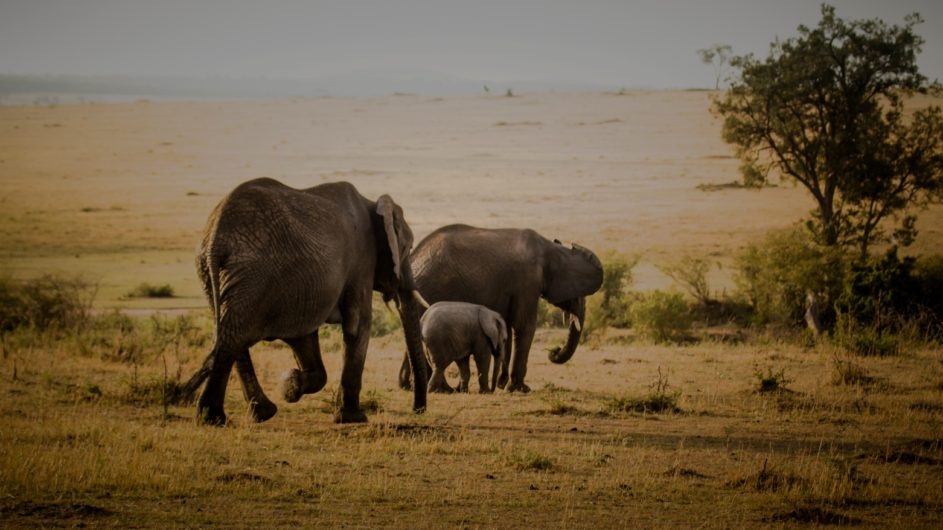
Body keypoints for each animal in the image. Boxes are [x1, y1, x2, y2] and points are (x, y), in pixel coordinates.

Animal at [177, 178, 428, 424]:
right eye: (409, 248)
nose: (418, 410)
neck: (372, 203)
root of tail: (215, 238)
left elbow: (304, 337)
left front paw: (290, 386)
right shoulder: (361, 262)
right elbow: (358, 326)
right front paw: (353, 418)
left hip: (213, 273)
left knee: (231, 336)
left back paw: (249, 415)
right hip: (254, 275)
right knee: (236, 336)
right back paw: (218, 418)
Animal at [398, 223, 604, 392]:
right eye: (577, 293)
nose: (554, 350)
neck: (553, 248)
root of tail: (413, 258)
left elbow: (509, 326)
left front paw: (502, 384)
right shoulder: (527, 281)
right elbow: (525, 326)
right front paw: (520, 389)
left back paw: (408, 385)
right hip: (430, 288)